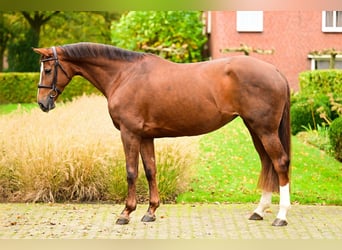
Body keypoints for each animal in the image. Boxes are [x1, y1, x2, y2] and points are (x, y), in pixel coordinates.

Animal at [33, 42, 292, 227]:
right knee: (267, 163)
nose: (42, 103)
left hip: (265, 130)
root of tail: (275, 70)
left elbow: (131, 172)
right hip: (255, 129)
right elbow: (150, 170)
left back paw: (281, 216)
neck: (124, 74)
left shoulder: (129, 133)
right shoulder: (145, 136)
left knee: (279, 163)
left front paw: (126, 213)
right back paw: (259, 211)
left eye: (48, 69)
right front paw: (150, 211)